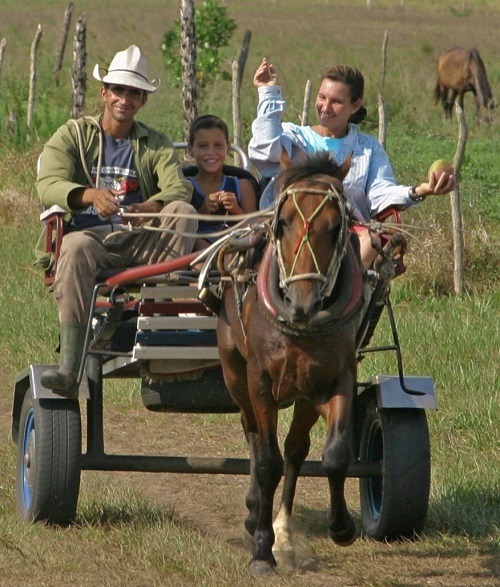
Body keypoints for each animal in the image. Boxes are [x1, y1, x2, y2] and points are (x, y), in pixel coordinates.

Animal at [216, 149, 368, 572]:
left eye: (336, 228)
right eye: (282, 223)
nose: (304, 304)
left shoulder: (337, 377)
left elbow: (334, 455)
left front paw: (341, 527)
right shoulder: (260, 379)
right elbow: (268, 462)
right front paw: (262, 548)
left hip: (304, 393)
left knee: (296, 449)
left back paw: (282, 526)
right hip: (234, 371)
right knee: (253, 432)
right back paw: (257, 513)